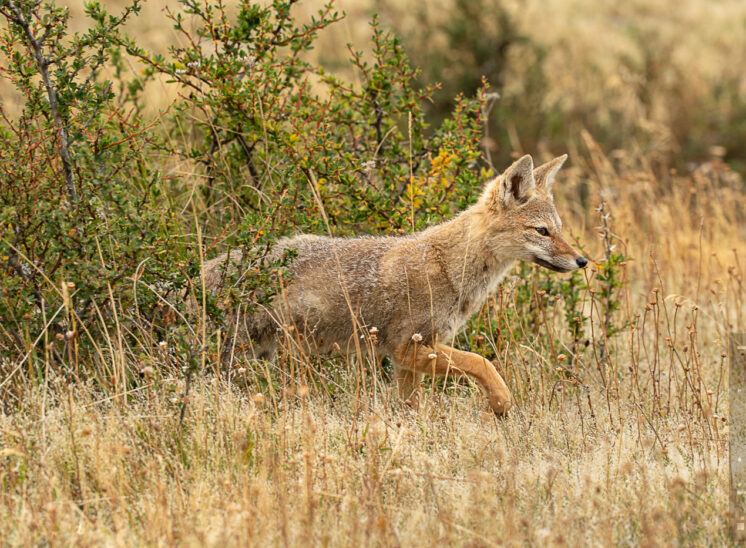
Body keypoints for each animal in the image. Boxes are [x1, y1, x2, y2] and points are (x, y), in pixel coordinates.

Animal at [205, 154, 588, 416]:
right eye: (542, 231)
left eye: (559, 229)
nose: (583, 261)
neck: (449, 266)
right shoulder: (407, 347)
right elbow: (481, 361)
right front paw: (501, 401)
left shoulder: (408, 360)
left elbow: (412, 407)